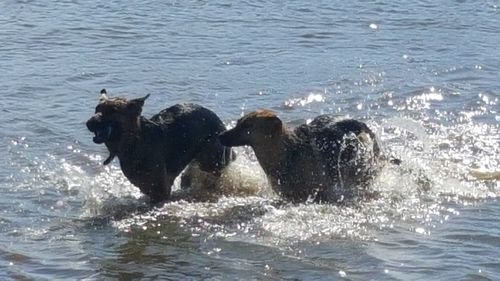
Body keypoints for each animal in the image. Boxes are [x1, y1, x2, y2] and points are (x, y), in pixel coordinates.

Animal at [86, 89, 232, 201]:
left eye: (112, 110)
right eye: (96, 109)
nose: (88, 123)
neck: (135, 141)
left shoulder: (161, 191)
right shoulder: (148, 187)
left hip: (210, 161)